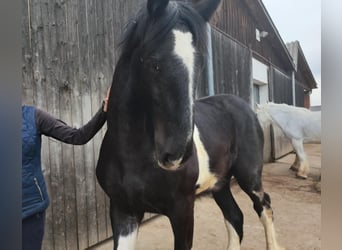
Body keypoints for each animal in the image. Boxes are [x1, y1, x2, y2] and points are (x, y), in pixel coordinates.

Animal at [96, 0, 284, 250]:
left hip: (249, 176)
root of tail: (244, 106)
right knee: (235, 216)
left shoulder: (182, 209)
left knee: (264, 206)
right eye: (154, 64)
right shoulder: (123, 210)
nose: (176, 155)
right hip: (219, 184)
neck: (132, 156)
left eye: (200, 65)